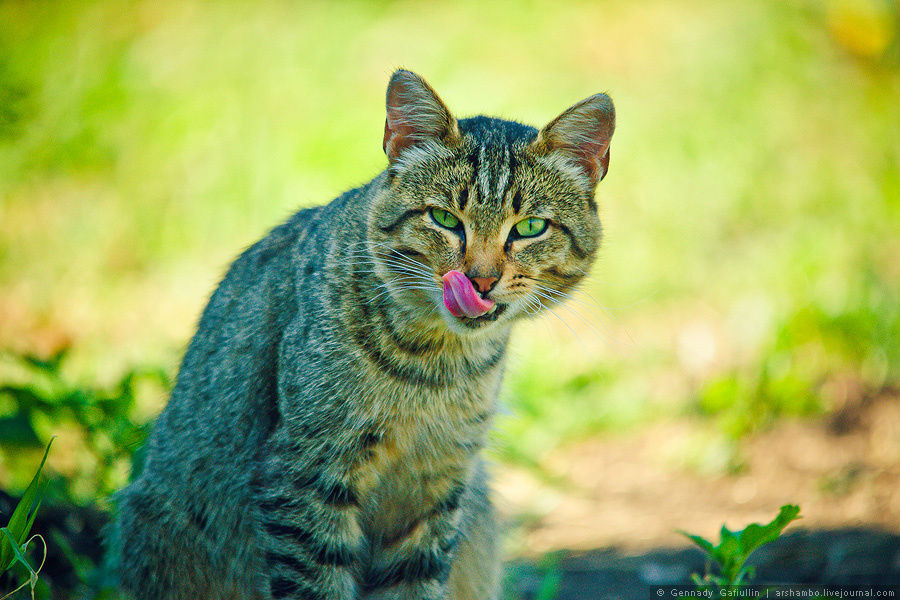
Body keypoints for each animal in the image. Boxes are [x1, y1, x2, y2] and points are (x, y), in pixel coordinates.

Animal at [103, 68, 612, 596]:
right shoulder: (307, 475)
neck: (437, 365)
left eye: (530, 227)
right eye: (444, 219)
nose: (481, 279)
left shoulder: (438, 484)